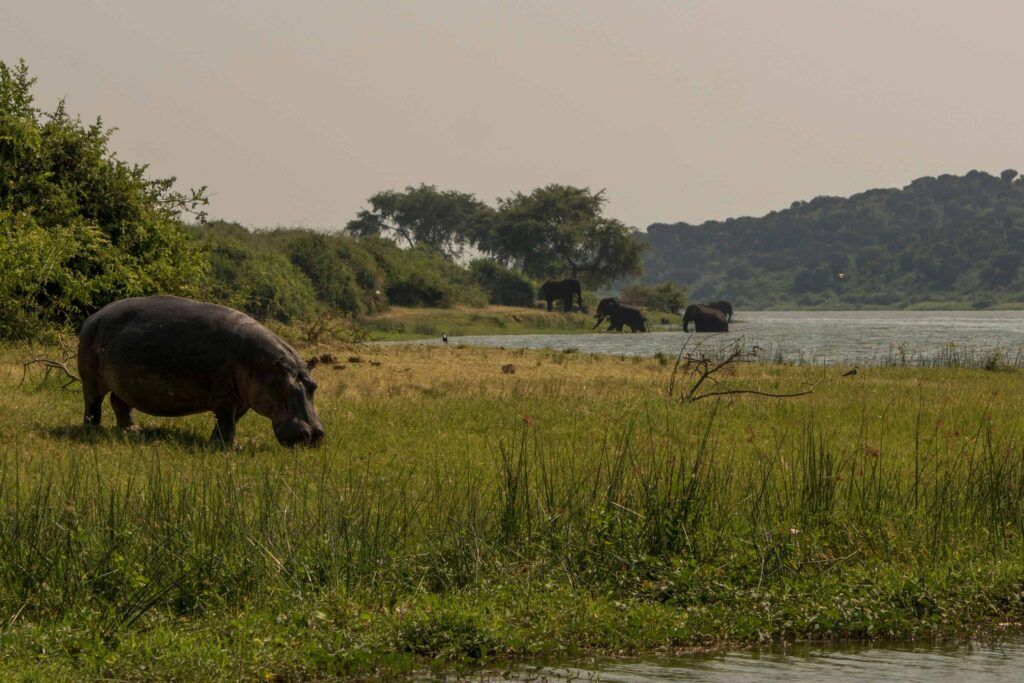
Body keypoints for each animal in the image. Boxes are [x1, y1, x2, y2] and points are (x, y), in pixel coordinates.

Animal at [76, 294, 323, 448]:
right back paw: (93, 430)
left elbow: (231, 422)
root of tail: (94, 316)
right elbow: (226, 421)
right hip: (91, 379)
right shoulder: (224, 397)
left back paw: (132, 430)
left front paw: (225, 443)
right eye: (286, 388)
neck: (262, 365)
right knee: (93, 404)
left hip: (124, 383)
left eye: (314, 386)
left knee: (120, 403)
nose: (315, 434)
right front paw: (232, 448)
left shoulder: (242, 399)